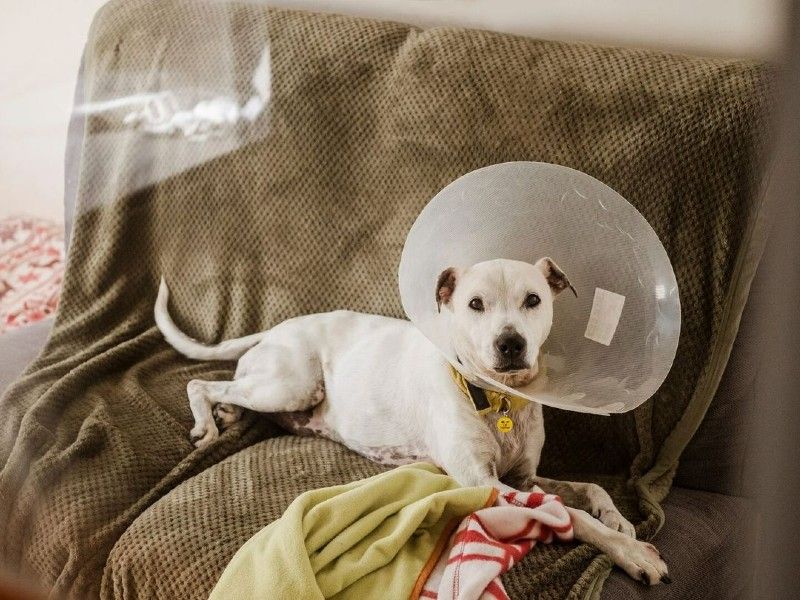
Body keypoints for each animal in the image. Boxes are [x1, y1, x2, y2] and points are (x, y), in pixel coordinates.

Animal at [155, 258, 668, 584]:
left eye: (533, 300)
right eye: (475, 304)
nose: (510, 344)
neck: (496, 400)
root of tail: (279, 326)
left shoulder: (525, 476)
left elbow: (591, 488)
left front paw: (619, 520)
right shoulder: (486, 484)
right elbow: (569, 514)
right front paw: (630, 552)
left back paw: (227, 414)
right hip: (292, 381)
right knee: (201, 383)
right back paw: (208, 424)